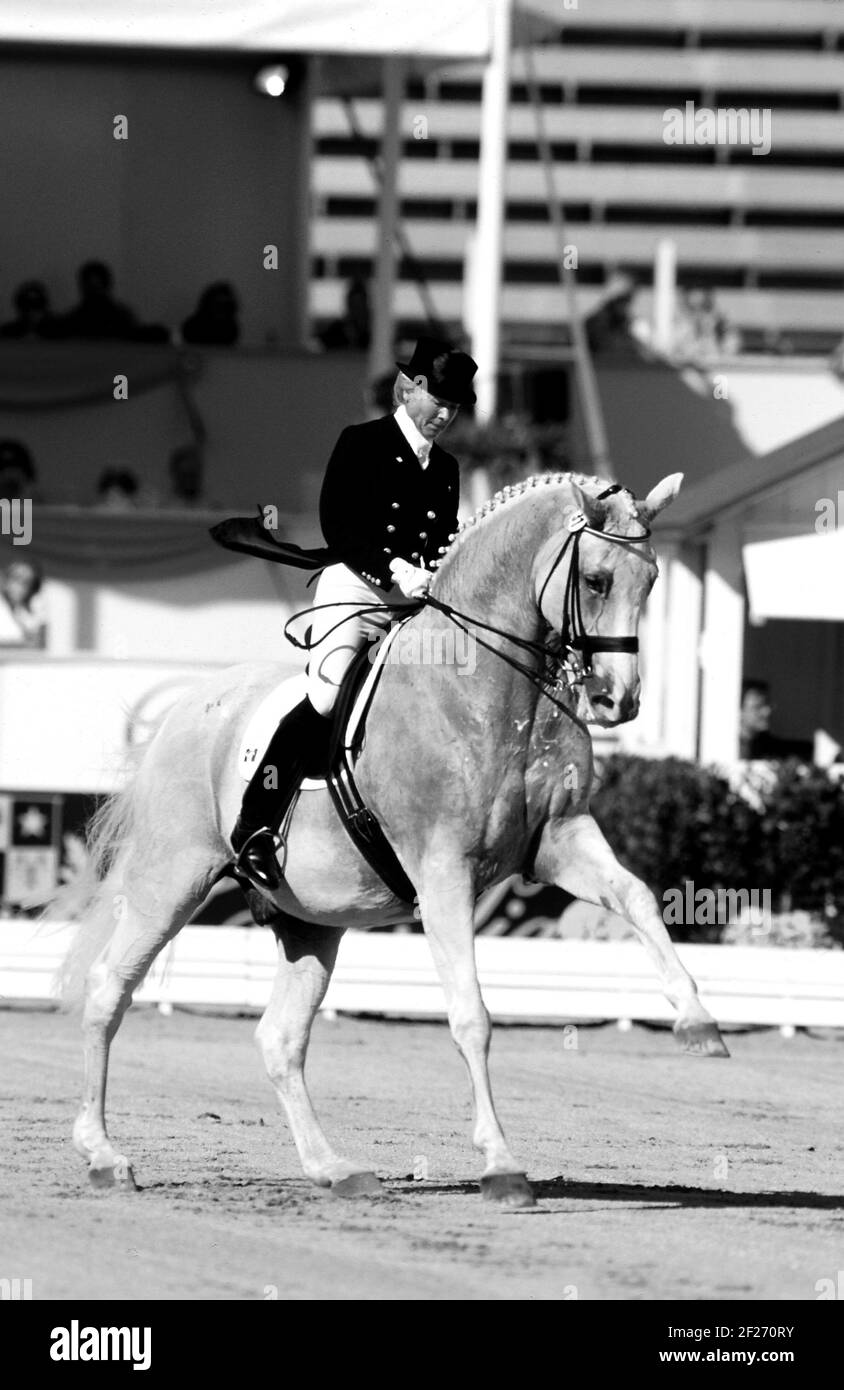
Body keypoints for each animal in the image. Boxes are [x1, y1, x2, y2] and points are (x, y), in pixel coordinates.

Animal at [59, 469, 728, 1206]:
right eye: (599, 580)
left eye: (652, 580)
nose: (618, 701)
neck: (490, 689)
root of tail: (186, 709)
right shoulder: (444, 871)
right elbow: (471, 1016)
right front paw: (501, 1165)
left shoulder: (560, 839)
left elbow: (636, 897)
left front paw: (698, 1022)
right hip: (173, 879)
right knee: (109, 989)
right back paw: (103, 1155)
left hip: (310, 921)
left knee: (279, 1039)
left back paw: (333, 1169)